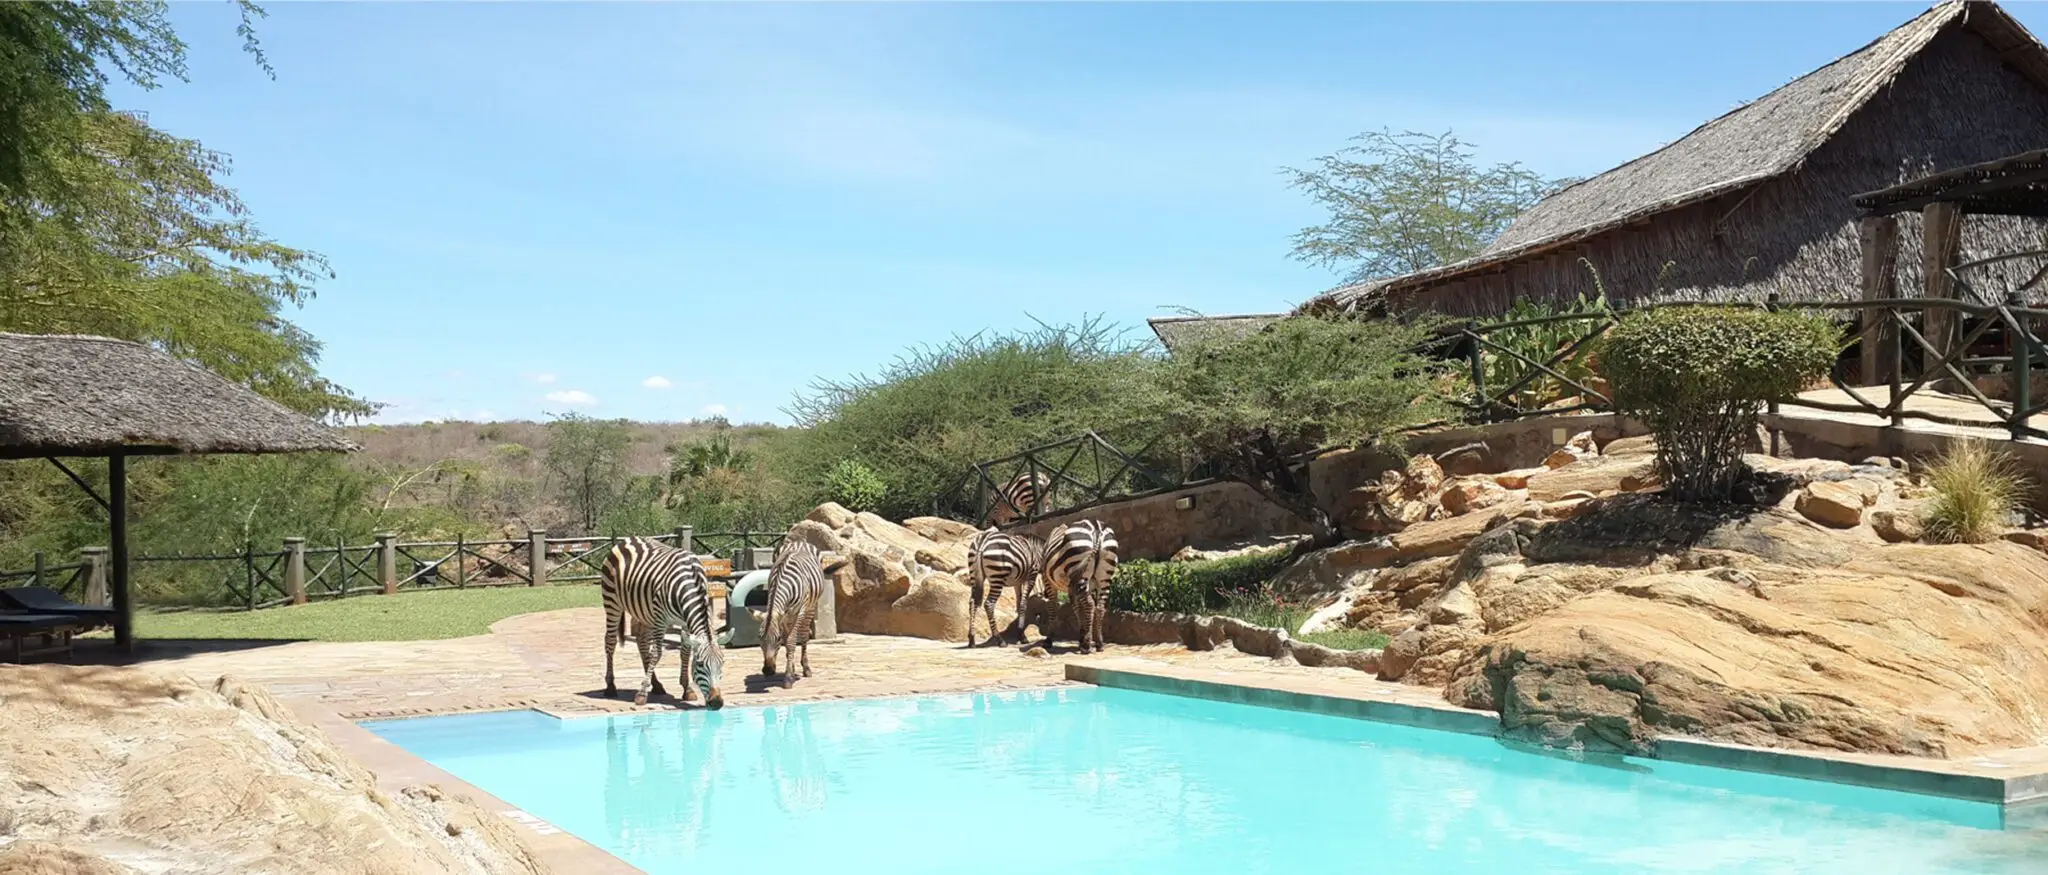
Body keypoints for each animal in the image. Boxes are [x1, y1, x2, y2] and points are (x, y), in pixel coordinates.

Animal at [601, 536, 727, 709]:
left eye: (722, 663)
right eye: (700, 664)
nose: (716, 703)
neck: (690, 581)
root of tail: (628, 539)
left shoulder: (685, 622)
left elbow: (685, 652)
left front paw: (687, 690)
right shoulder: (660, 619)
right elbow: (657, 653)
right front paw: (641, 694)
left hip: (643, 612)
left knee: (642, 642)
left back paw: (656, 685)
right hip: (612, 601)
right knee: (611, 641)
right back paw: (611, 686)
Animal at [761, 540, 830, 688]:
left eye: (778, 639)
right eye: (759, 638)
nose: (768, 670)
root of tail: (800, 542)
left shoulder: (797, 613)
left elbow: (791, 642)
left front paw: (788, 678)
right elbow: (788, 643)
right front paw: (790, 671)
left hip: (810, 607)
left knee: (803, 635)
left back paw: (806, 668)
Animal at [1044, 520, 1119, 654]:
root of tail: (1097, 528)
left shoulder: (1049, 582)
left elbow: (1053, 608)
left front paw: (1048, 639)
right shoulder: (1073, 588)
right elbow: (1077, 608)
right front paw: (1081, 637)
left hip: (1079, 568)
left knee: (1090, 604)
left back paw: (1087, 646)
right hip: (1104, 577)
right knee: (1099, 607)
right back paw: (1099, 643)